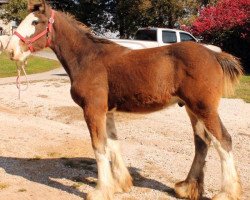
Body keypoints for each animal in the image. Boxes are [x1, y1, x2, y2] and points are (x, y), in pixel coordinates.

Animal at [6, 0, 243, 199]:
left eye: (36, 22)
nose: (10, 51)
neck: (87, 58)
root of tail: (215, 55)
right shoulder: (107, 112)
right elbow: (113, 144)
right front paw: (121, 184)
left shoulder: (92, 110)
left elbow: (99, 147)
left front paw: (100, 190)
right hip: (192, 109)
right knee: (202, 143)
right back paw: (186, 188)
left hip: (204, 108)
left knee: (223, 140)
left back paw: (227, 193)